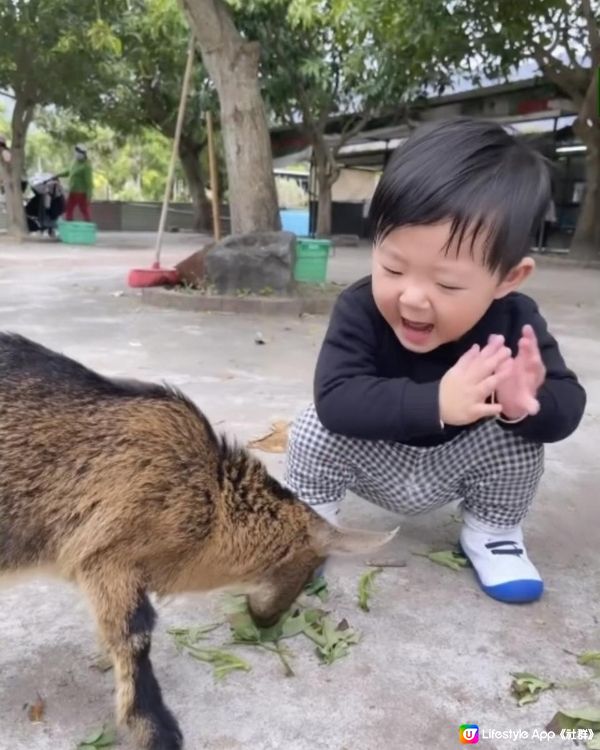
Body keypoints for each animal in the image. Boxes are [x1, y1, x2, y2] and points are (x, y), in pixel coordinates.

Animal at [0, 336, 394, 750]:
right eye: (306, 571)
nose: (266, 621)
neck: (209, 493)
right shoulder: (107, 554)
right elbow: (135, 638)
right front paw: (155, 730)